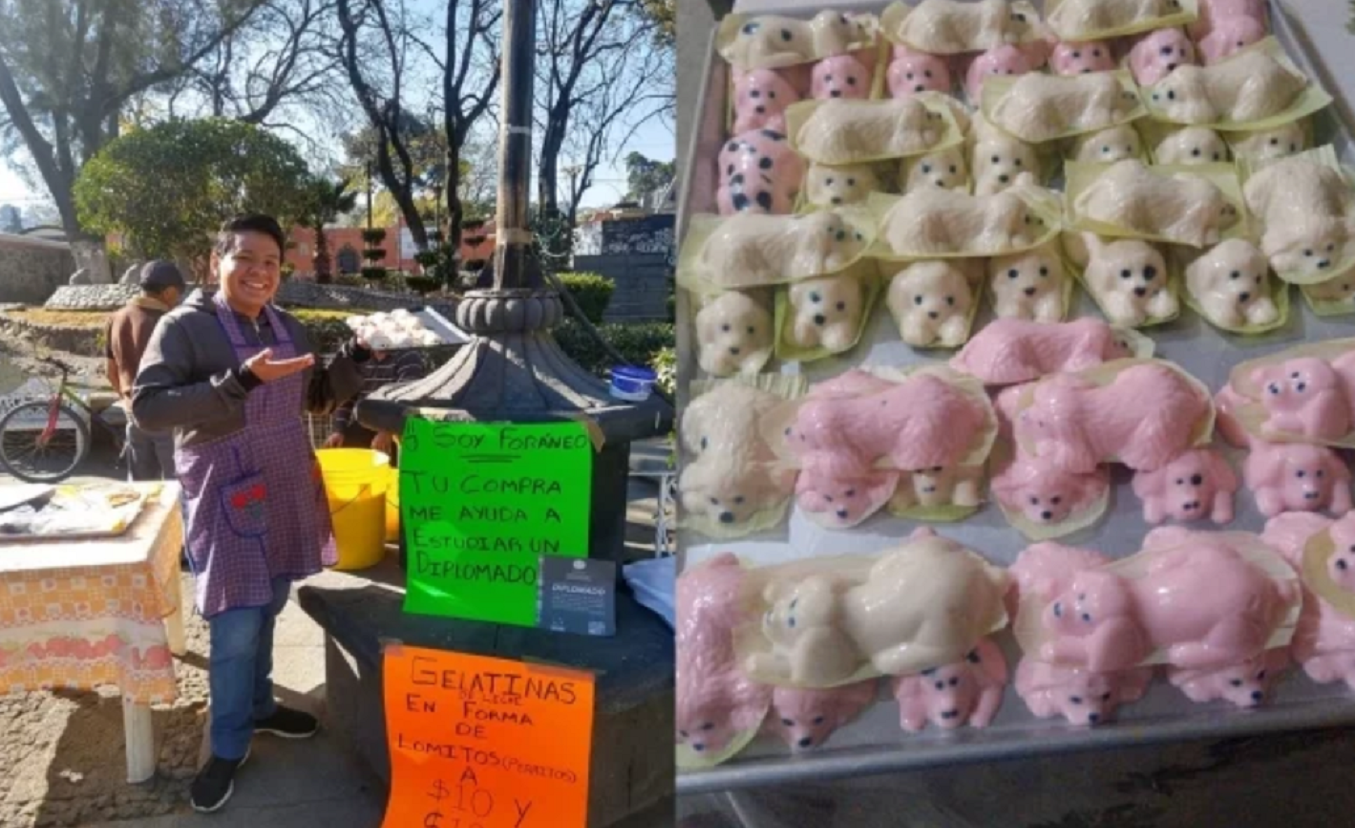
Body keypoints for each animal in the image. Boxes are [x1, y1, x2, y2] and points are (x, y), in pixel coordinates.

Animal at [785, 374, 986, 482]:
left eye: (804, 436)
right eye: (798, 417)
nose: (786, 431)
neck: (845, 413)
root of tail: (967, 411)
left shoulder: (852, 457)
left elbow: (838, 466)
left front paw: (809, 459)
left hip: (920, 434)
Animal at [1018, 365, 1208, 477]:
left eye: (1042, 423)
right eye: (1035, 401)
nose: (1022, 416)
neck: (1084, 406)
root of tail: (1190, 399)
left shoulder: (1080, 450)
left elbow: (1067, 458)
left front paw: (1045, 447)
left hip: (1154, 431)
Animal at [1040, 536, 1295, 674]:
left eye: (1086, 617)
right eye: (1079, 594)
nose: (1057, 610)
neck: (1131, 598)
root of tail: (1267, 585)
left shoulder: (1122, 640)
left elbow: (1097, 658)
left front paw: (1053, 650)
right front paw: (1050, 587)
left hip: (1233, 626)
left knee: (1232, 649)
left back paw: (1184, 653)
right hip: (1213, 556)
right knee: (1204, 550)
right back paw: (1160, 564)